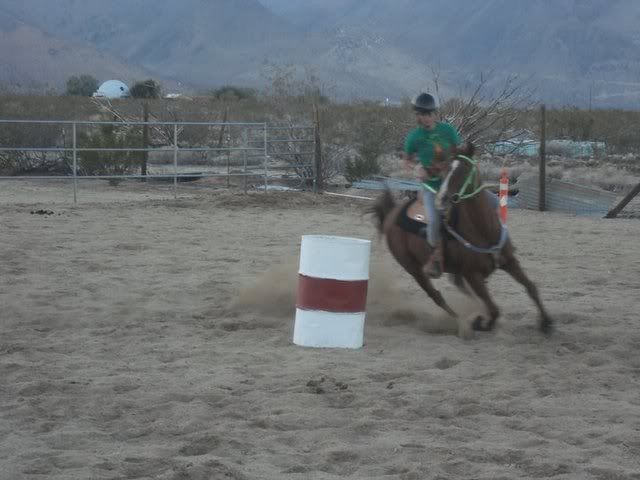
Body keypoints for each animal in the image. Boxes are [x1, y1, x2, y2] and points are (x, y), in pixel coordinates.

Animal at [369, 145, 553, 334]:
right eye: (445, 170)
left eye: (464, 170)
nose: (442, 198)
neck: (483, 229)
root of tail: (392, 213)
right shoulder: (472, 274)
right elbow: (493, 309)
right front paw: (480, 323)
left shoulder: (509, 261)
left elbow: (530, 287)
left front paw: (546, 322)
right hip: (413, 268)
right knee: (436, 296)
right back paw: (459, 321)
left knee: (457, 288)